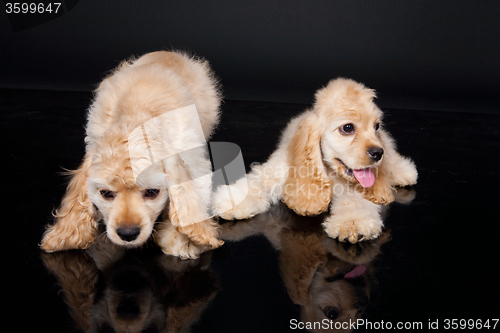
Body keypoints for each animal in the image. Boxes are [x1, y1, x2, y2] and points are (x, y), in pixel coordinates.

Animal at [40, 50, 224, 258]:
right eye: (106, 193)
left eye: (152, 192)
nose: (127, 234)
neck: (137, 116)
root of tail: (168, 52)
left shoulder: (192, 157)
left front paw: (185, 239)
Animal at [212, 79, 418, 243]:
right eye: (348, 128)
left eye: (376, 126)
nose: (377, 153)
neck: (328, 171)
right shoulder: (279, 168)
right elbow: (257, 182)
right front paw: (232, 200)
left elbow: (355, 202)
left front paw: (352, 224)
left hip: (387, 146)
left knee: (392, 156)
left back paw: (404, 172)